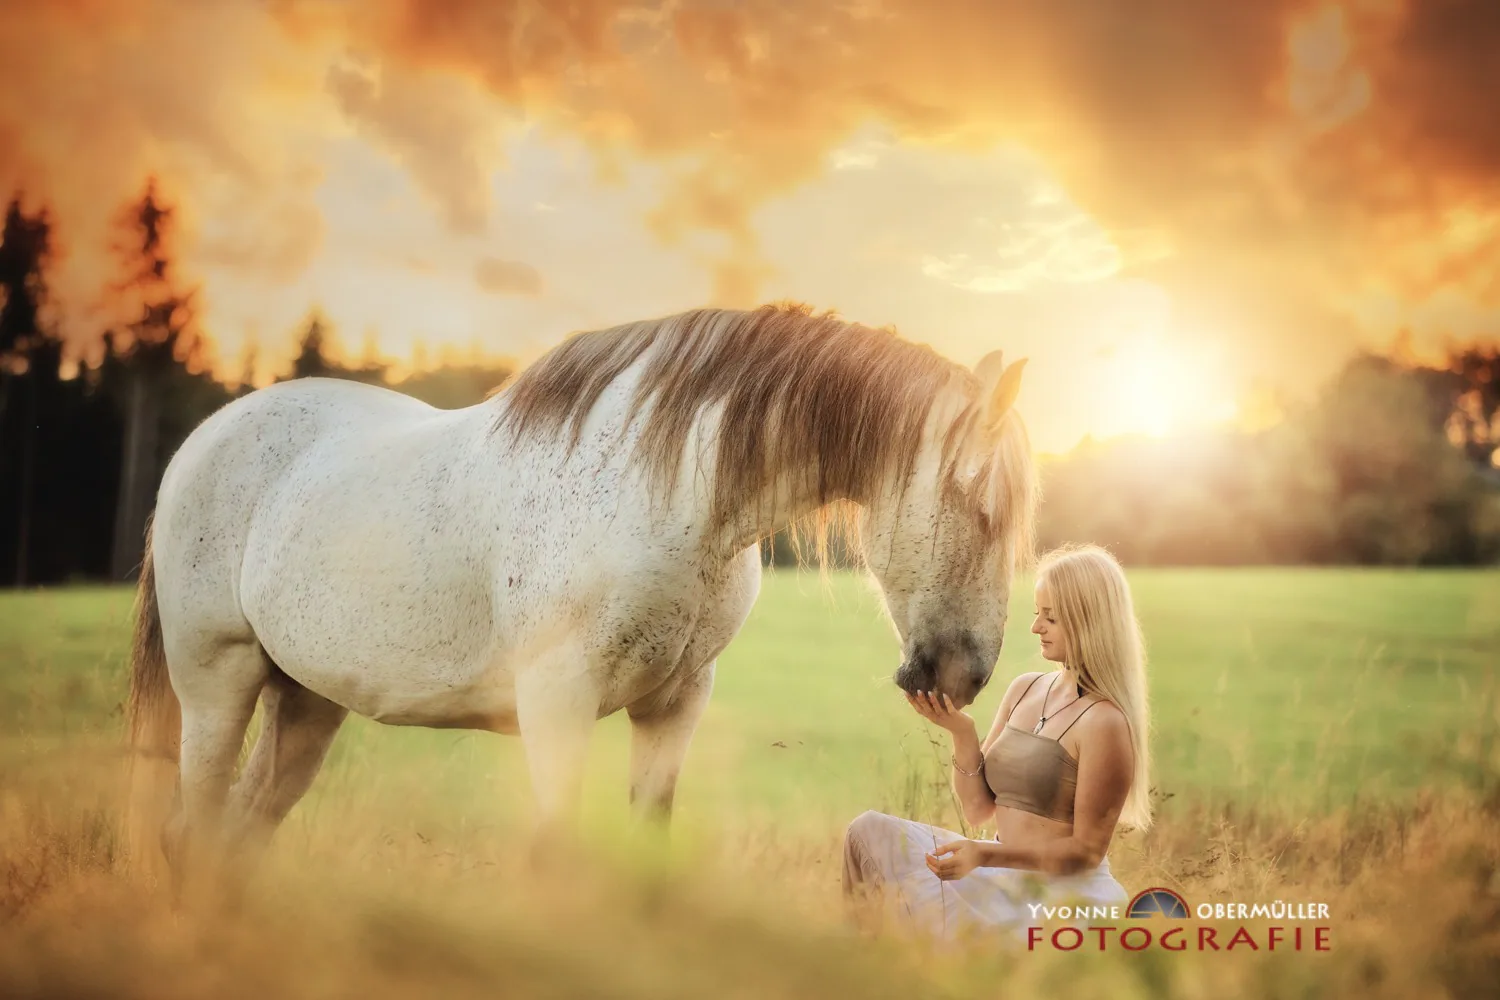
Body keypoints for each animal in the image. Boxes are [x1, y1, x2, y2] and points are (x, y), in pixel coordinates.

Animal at [124, 303, 1038, 880]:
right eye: (982, 507)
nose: (965, 675)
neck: (675, 490)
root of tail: (204, 441)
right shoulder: (556, 702)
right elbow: (557, 856)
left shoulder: (675, 703)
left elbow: (645, 847)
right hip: (219, 682)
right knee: (191, 833)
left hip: (308, 699)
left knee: (242, 832)